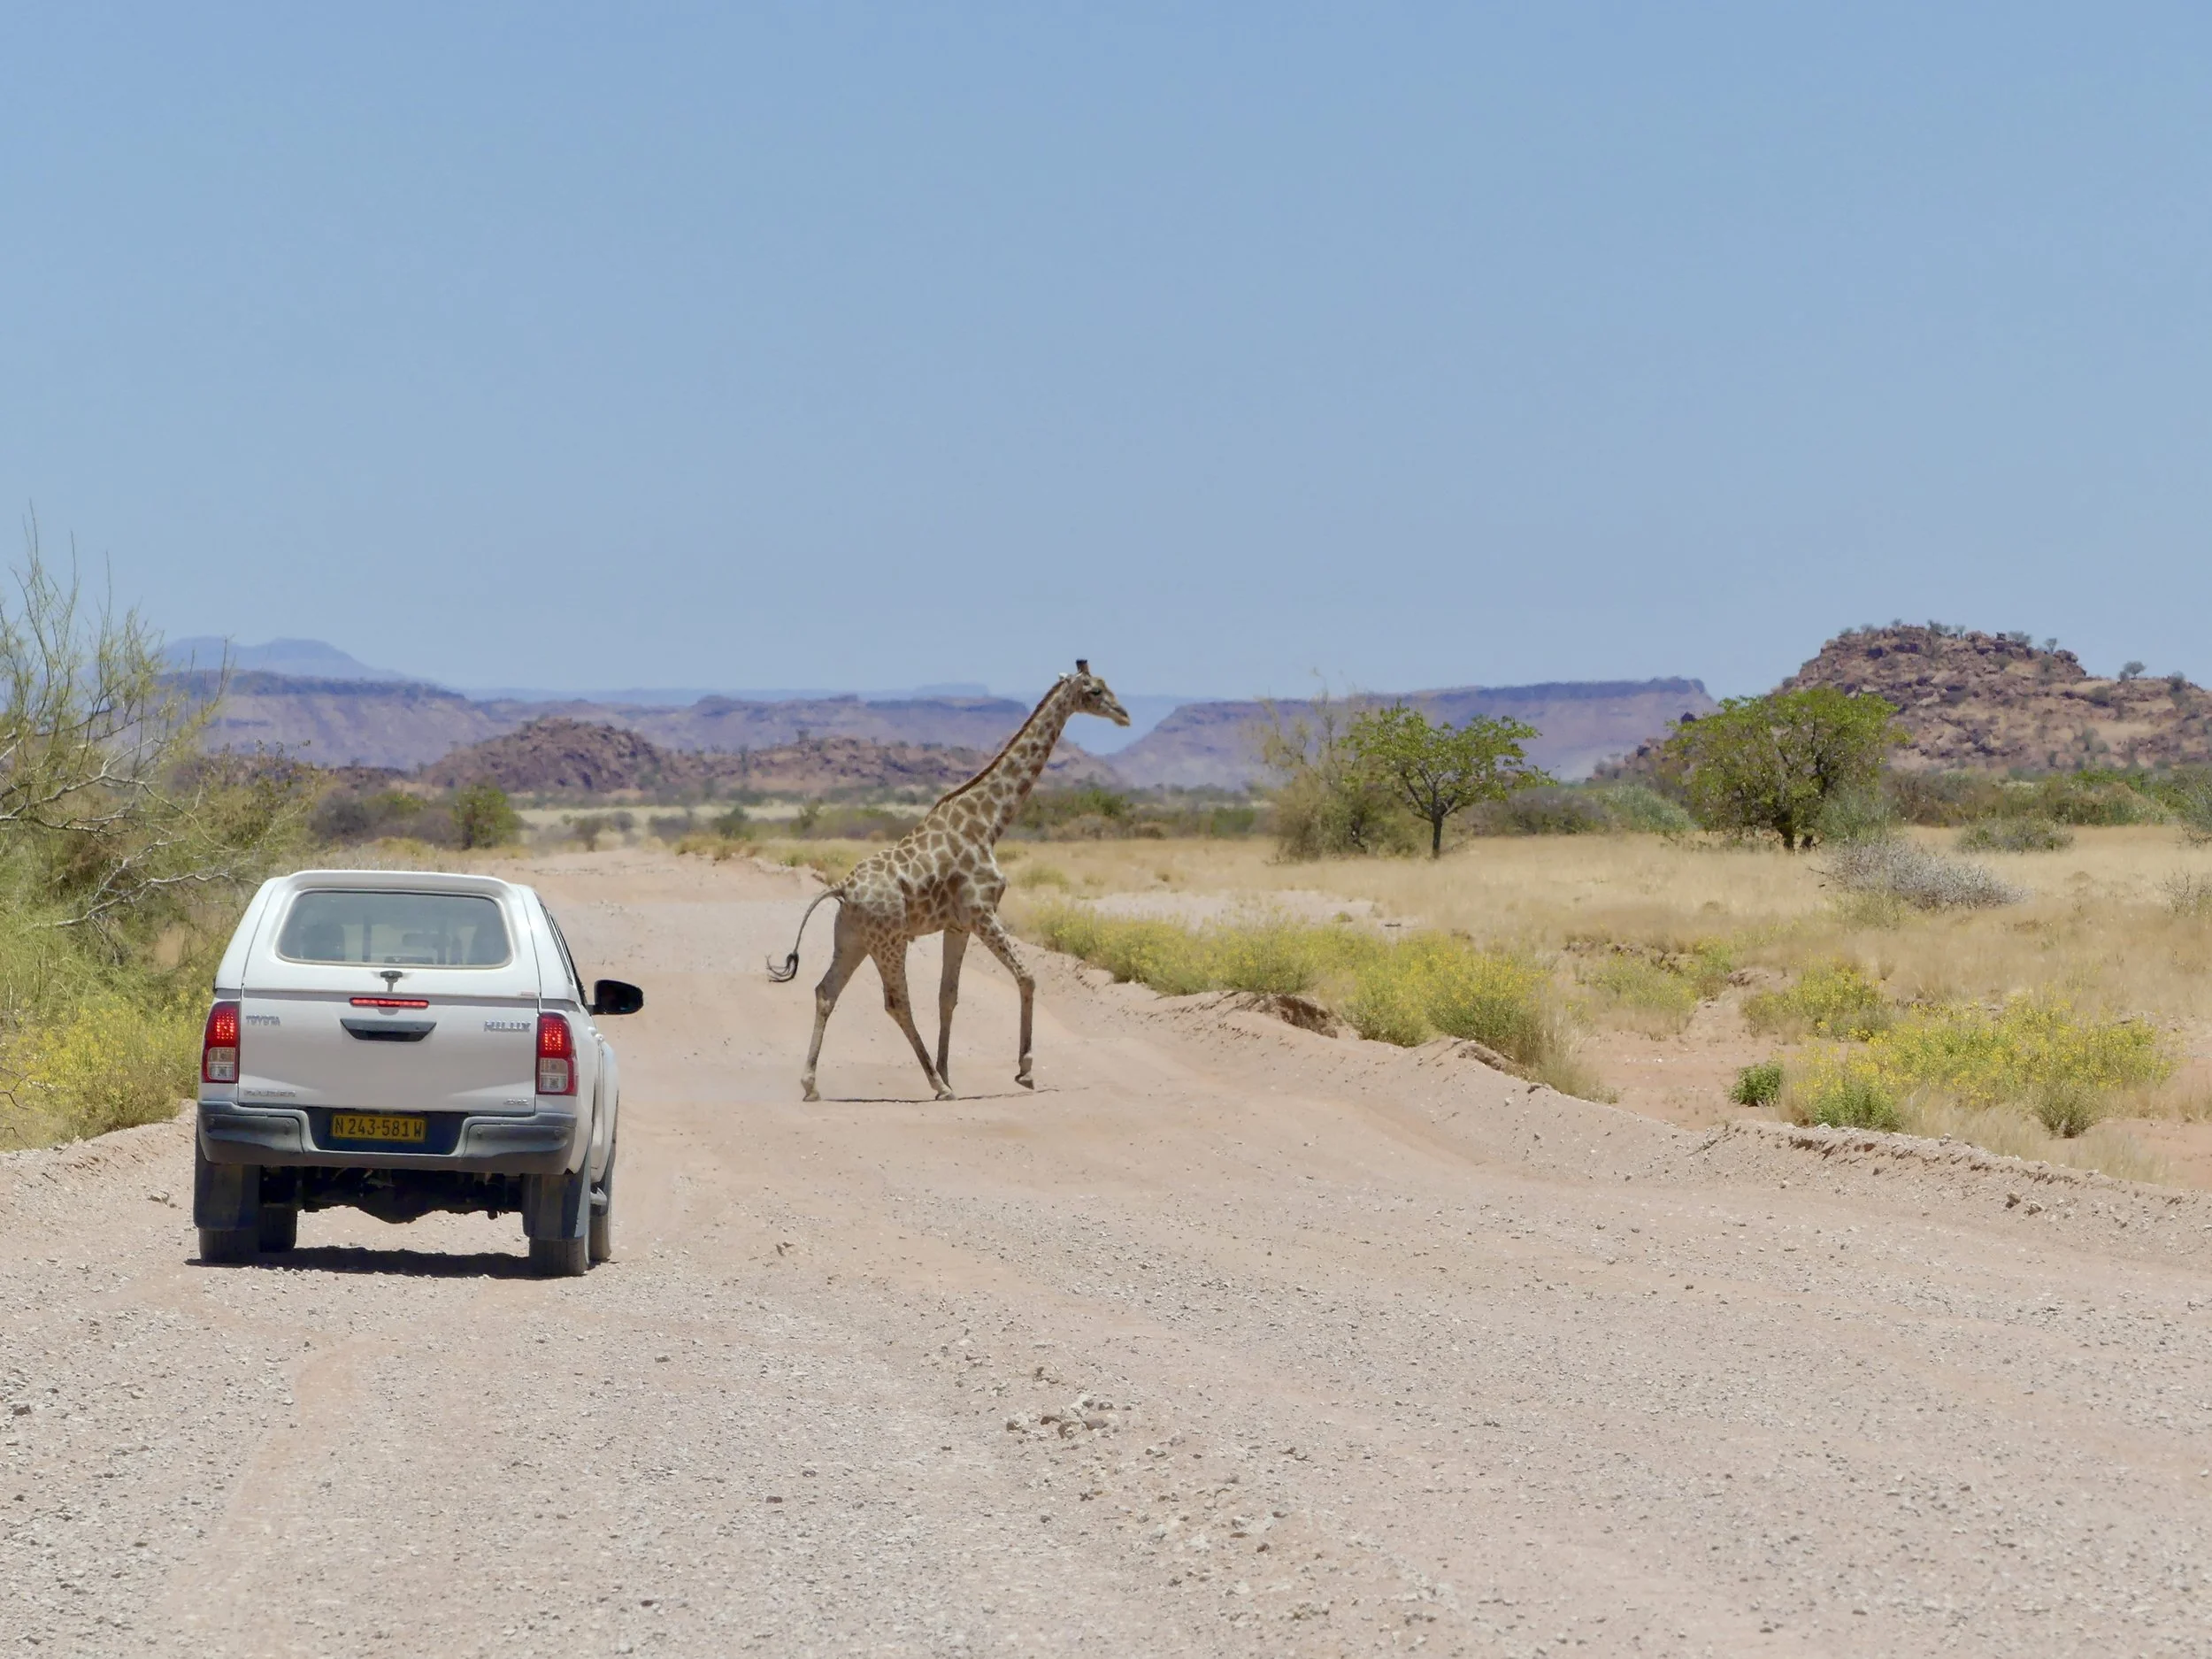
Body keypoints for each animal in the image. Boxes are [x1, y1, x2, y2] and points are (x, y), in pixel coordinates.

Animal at [767, 661, 1132, 1101]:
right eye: (1095, 691)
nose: (1124, 715)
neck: (989, 823)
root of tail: (842, 889)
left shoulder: (958, 924)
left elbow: (948, 996)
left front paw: (951, 1068)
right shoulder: (981, 911)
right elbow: (1026, 976)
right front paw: (1023, 1071)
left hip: (853, 939)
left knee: (826, 991)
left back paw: (812, 1085)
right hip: (889, 941)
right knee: (896, 1003)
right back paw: (937, 1086)